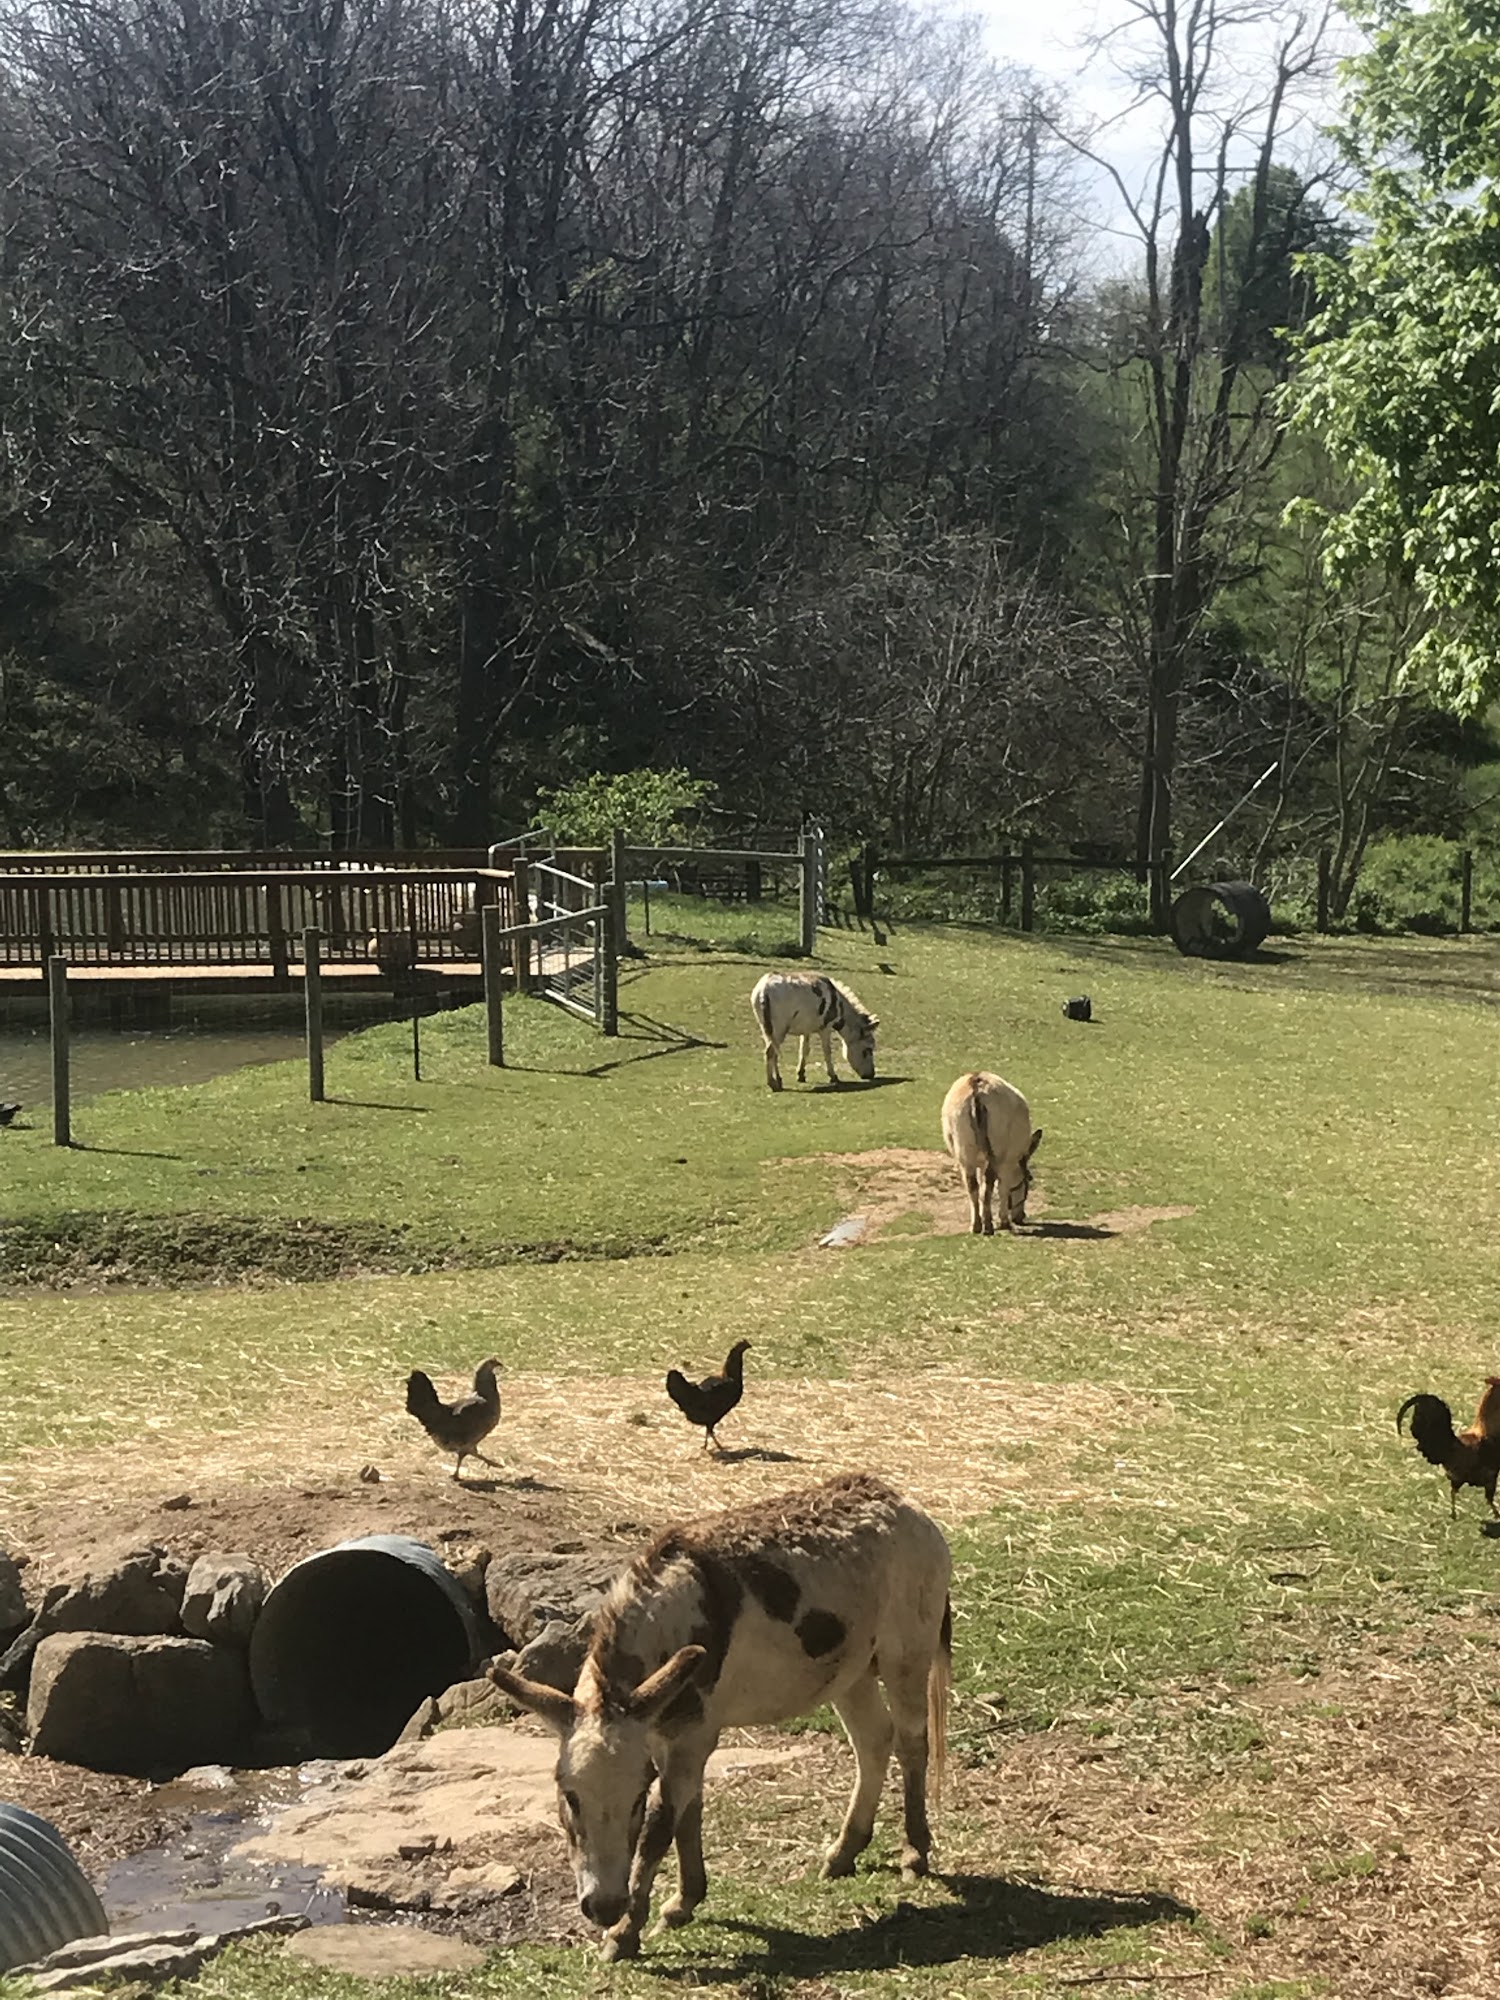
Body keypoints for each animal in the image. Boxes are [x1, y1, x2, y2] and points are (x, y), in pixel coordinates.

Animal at [489, 1473, 951, 1960]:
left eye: (635, 1799)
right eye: (569, 1797)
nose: (604, 1907)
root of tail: (902, 1501)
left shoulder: (691, 1735)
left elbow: (660, 1827)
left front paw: (625, 1933)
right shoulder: (665, 1735)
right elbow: (687, 1813)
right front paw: (682, 1904)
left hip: (907, 1653)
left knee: (911, 1742)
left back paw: (914, 1852)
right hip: (851, 1671)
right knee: (873, 1742)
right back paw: (844, 1852)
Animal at [749, 972, 878, 1090]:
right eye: (868, 1050)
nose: (871, 1075)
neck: (838, 1004)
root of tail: (764, 989)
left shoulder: (806, 1029)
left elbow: (804, 1050)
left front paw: (801, 1075)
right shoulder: (825, 1028)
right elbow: (827, 1052)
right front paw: (833, 1076)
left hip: (768, 1029)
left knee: (773, 1053)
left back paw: (779, 1081)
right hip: (779, 1029)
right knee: (770, 1052)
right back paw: (772, 1084)